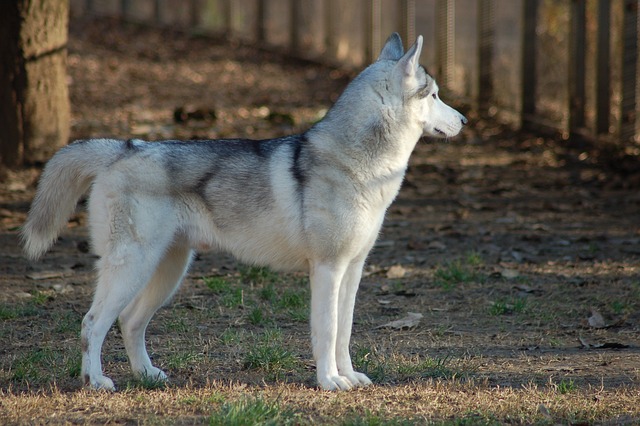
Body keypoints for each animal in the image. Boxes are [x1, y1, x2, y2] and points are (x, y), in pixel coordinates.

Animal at [22, 33, 468, 392]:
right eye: (433, 95)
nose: (464, 120)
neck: (358, 166)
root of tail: (125, 147)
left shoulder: (353, 269)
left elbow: (344, 332)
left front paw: (349, 376)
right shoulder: (327, 269)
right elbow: (326, 332)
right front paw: (329, 381)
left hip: (168, 271)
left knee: (130, 322)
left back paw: (146, 375)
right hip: (132, 268)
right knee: (92, 323)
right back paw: (95, 380)